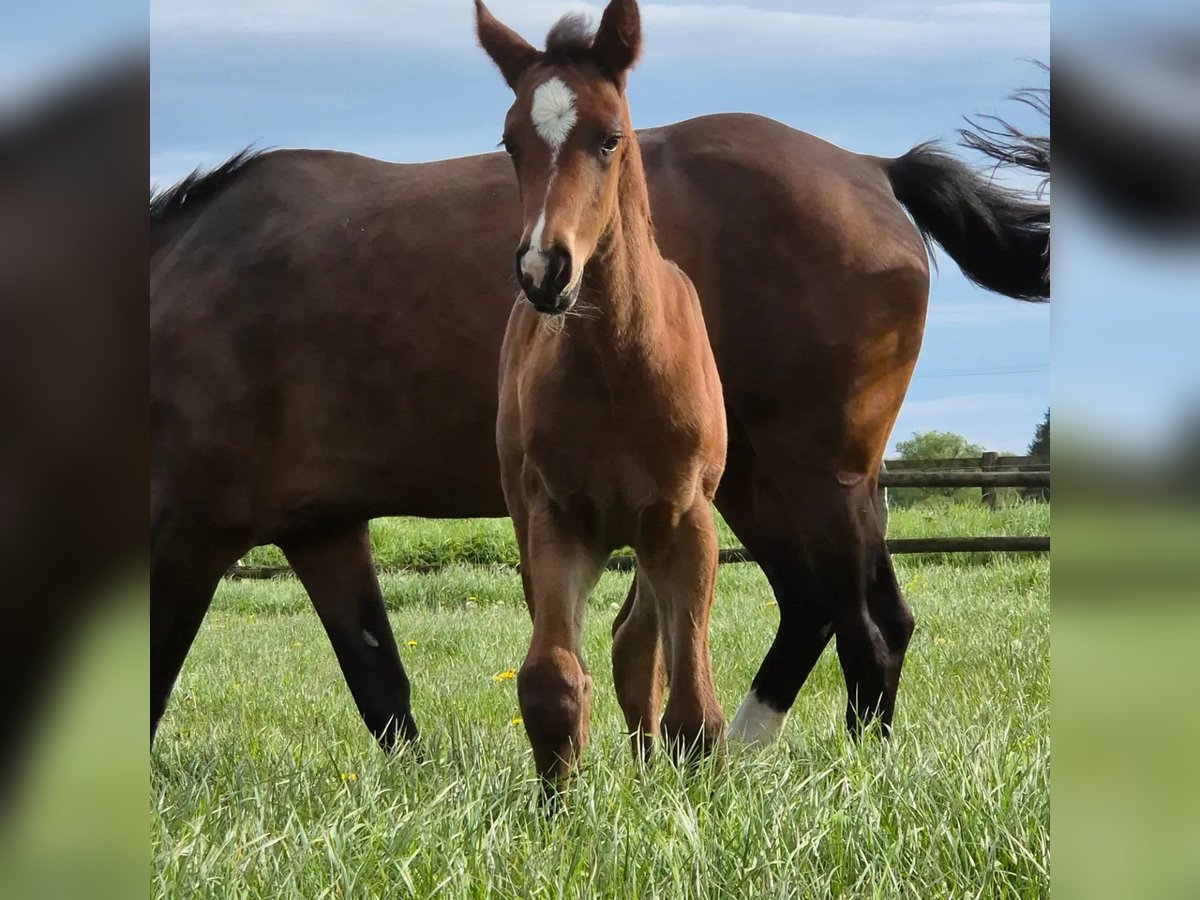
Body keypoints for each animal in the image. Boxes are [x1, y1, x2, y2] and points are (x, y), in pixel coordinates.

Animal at [150, 65, 1046, 753]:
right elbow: (382, 688)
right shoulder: (323, 530)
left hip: (811, 477)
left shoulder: (190, 530)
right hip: (766, 483)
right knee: (826, 610)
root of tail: (874, 167)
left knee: (866, 630)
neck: (192, 278)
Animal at [472, 0, 724, 787]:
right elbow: (551, 680)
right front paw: (560, 803)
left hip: (648, 534)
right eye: (510, 141)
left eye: (610, 138)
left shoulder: (683, 519)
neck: (619, 367)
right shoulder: (556, 519)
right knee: (618, 647)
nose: (543, 269)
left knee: (640, 646)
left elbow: (694, 708)